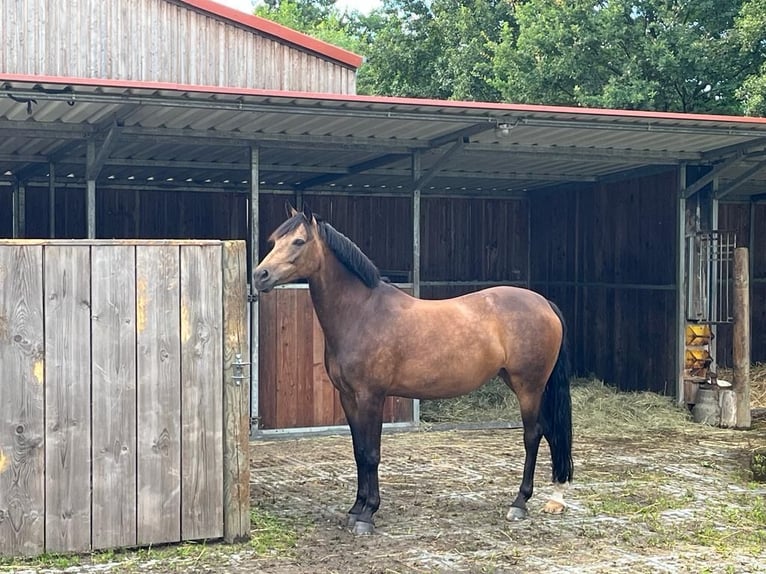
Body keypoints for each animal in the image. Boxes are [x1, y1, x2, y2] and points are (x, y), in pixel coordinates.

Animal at [255, 205, 572, 536]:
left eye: (299, 241)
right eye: (274, 241)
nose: (259, 275)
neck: (362, 313)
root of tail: (544, 303)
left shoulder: (371, 397)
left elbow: (371, 453)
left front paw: (368, 514)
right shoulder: (348, 397)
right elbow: (358, 452)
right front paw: (355, 509)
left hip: (529, 387)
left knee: (533, 435)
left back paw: (519, 503)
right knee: (550, 432)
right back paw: (555, 499)